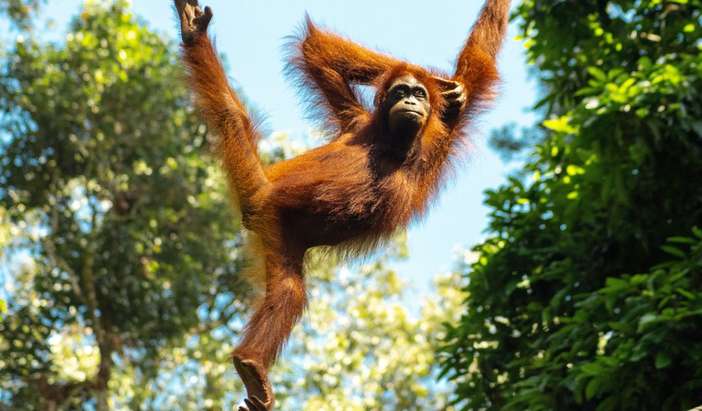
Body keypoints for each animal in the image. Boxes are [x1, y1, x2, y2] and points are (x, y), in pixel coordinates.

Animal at [173, 0, 510, 409]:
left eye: (418, 94)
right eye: (401, 91)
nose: (411, 100)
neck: (393, 145)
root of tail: (259, 195)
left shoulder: (440, 132)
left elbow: (477, 63)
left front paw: (444, 85)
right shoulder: (360, 123)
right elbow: (317, 49)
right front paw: (445, 83)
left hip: (278, 232)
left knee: (288, 289)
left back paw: (250, 364)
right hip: (273, 213)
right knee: (230, 117)